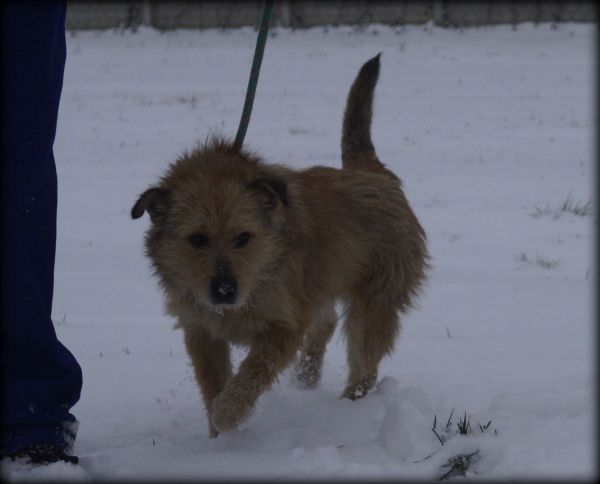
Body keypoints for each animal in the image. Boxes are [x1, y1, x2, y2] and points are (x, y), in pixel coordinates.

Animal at [134, 54, 428, 436]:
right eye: (197, 239)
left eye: (243, 237)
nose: (224, 289)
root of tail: (373, 172)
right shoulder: (201, 329)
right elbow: (212, 381)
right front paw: (217, 435)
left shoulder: (285, 323)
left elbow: (252, 372)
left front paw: (228, 413)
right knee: (327, 321)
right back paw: (306, 377)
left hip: (374, 302)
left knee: (365, 363)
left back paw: (347, 408)